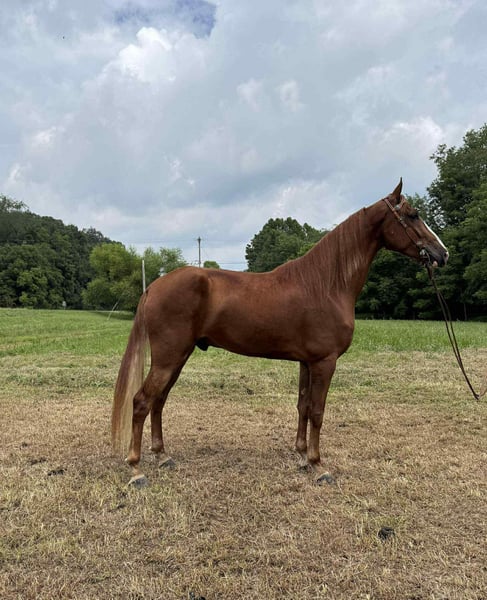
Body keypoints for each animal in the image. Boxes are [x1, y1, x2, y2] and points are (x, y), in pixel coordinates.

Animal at [112, 180, 449, 485]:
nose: (442, 254)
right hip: (169, 358)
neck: (326, 284)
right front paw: (318, 465)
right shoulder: (325, 362)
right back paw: (136, 468)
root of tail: (155, 286)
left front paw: (302, 456)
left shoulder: (307, 362)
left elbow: (303, 406)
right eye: (414, 215)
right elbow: (317, 411)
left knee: (158, 401)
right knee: (141, 402)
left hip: (178, 357)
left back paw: (163, 456)